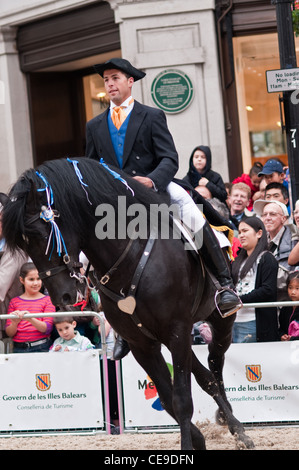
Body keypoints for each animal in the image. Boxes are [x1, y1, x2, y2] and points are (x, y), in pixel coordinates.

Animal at [0, 158, 255, 452]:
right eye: (24, 246)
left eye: (44, 235)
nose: (63, 298)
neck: (131, 255)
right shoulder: (142, 343)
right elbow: (168, 399)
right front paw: (198, 440)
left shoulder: (177, 330)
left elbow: (181, 399)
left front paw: (190, 445)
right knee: (206, 376)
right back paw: (228, 420)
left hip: (219, 321)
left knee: (215, 361)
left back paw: (237, 427)